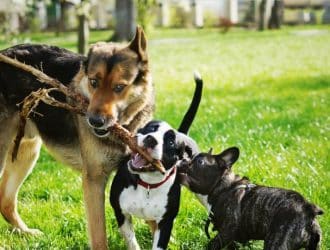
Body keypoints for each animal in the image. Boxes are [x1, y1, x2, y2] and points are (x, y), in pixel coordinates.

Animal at [0, 26, 153, 249]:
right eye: (94, 82)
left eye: (119, 87)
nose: (95, 121)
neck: (123, 128)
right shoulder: (94, 181)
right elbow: (99, 236)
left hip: (26, 152)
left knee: (6, 199)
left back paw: (25, 232)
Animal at [110, 73, 201, 249]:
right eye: (151, 128)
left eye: (170, 142)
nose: (151, 139)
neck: (147, 184)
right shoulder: (121, 212)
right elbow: (131, 241)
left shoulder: (165, 223)